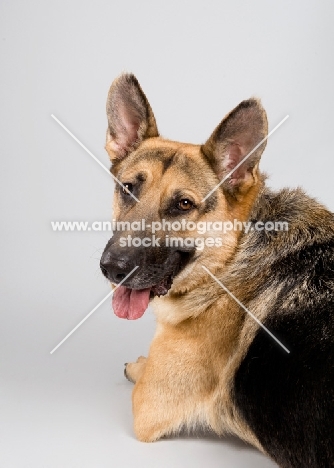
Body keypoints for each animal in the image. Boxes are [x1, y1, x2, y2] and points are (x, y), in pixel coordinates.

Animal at [100, 74, 334, 468]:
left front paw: (138, 365)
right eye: (128, 189)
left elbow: (143, 376)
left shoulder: (147, 406)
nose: (112, 269)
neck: (234, 256)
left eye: (183, 204)